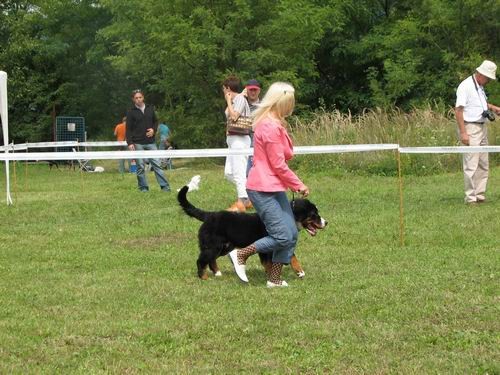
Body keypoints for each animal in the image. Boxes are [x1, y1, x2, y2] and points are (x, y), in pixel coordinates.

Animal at [177, 178, 328, 280]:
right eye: (314, 215)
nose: (326, 222)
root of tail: (209, 215)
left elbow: (291, 257)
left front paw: (299, 271)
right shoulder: (269, 246)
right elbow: (269, 263)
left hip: (224, 246)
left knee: (210, 259)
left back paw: (218, 273)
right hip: (213, 245)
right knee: (201, 260)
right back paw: (204, 277)